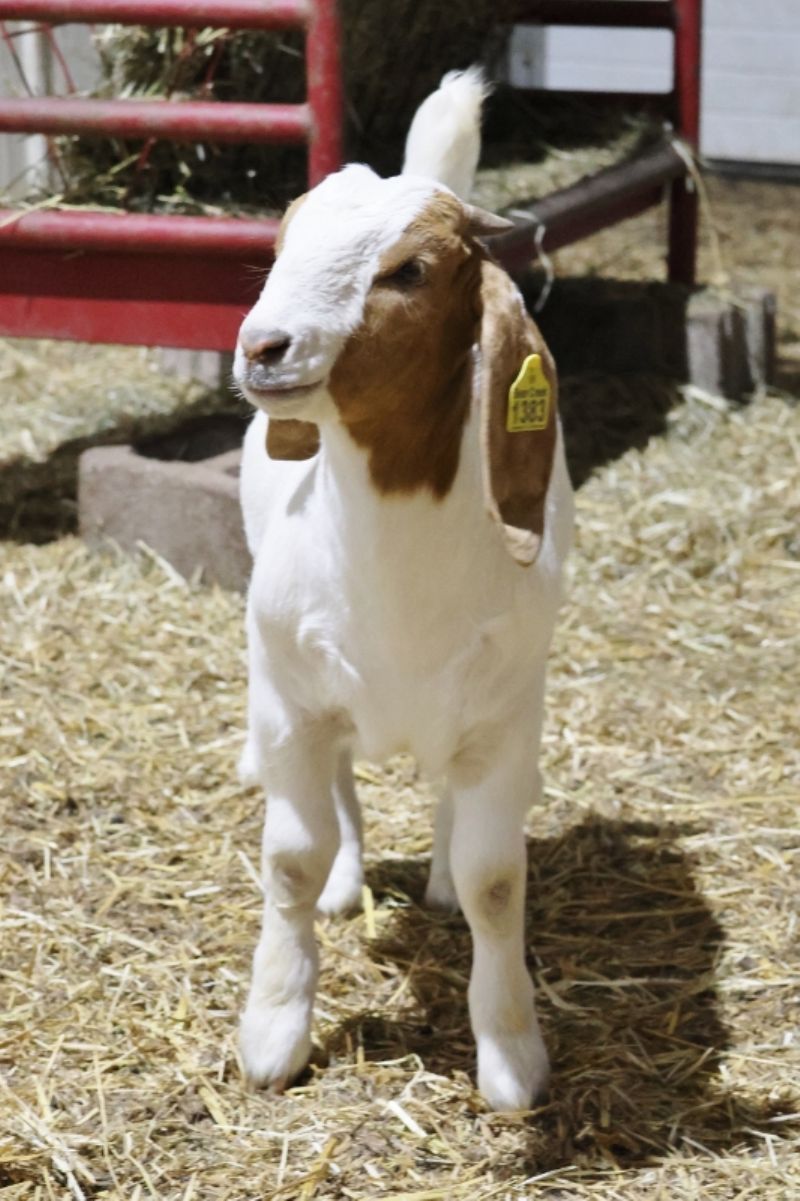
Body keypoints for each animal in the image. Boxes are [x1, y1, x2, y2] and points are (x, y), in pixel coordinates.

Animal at [233, 69, 574, 1112]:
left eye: (410, 271)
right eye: (280, 248)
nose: (263, 347)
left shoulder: (505, 719)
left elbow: (496, 878)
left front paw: (511, 1056)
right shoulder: (293, 702)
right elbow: (290, 858)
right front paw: (274, 1029)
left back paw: (436, 880)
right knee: (341, 785)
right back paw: (350, 879)